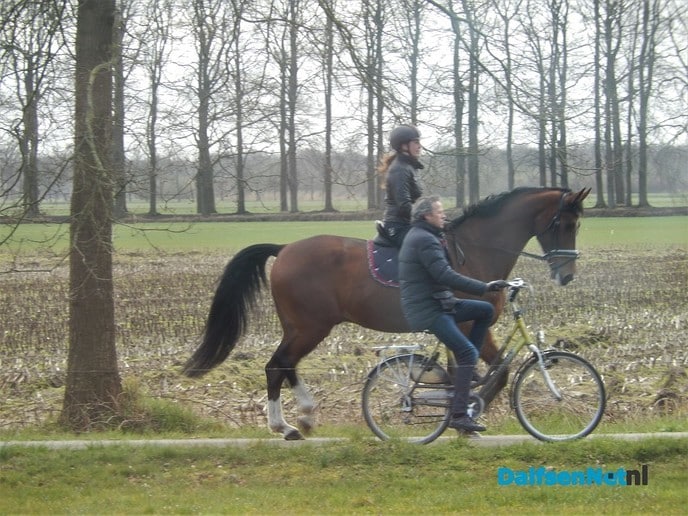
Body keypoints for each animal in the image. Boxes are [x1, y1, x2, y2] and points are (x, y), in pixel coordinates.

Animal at [183, 186, 591, 440]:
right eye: (566, 223)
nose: (568, 275)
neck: (473, 250)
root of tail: (284, 249)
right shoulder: (468, 323)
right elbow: (490, 372)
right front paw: (467, 415)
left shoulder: (468, 326)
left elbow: (482, 370)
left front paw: (463, 413)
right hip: (310, 327)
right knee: (275, 366)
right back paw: (284, 426)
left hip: (301, 328)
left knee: (286, 365)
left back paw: (305, 415)